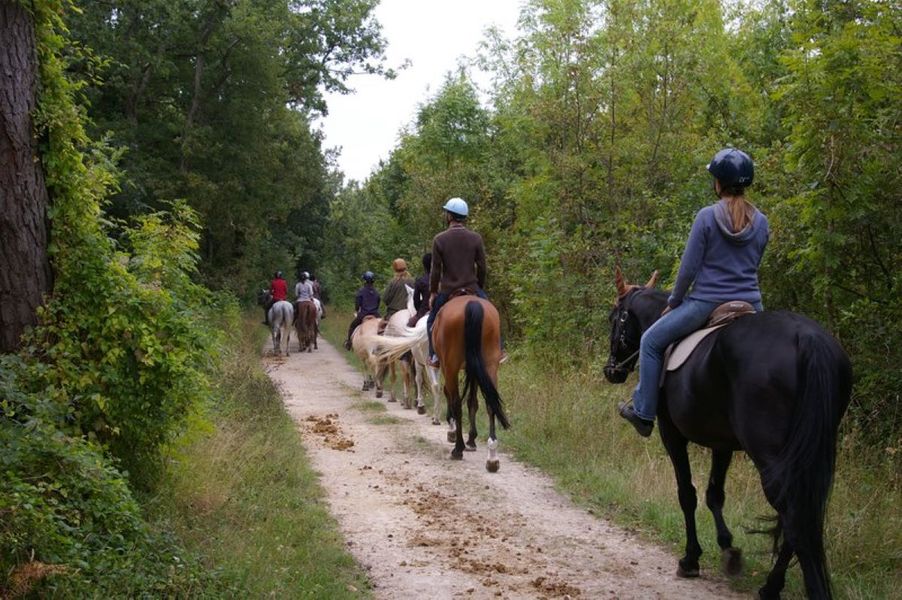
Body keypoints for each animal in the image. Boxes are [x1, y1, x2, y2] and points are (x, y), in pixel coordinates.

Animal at [432, 292, 508, 472]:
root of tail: (472, 304)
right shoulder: (473, 368)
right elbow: (472, 401)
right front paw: (472, 439)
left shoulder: (449, 368)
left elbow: (452, 396)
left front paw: (454, 433)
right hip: (489, 364)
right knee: (490, 403)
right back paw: (492, 458)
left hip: (451, 366)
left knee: (456, 403)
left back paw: (458, 449)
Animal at [604, 272, 852, 600]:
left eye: (614, 319)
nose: (611, 371)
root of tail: (807, 339)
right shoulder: (721, 444)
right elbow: (714, 495)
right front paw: (728, 549)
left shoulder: (672, 434)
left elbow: (687, 494)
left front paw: (691, 559)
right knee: (798, 516)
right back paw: (771, 585)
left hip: (771, 457)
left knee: (795, 517)